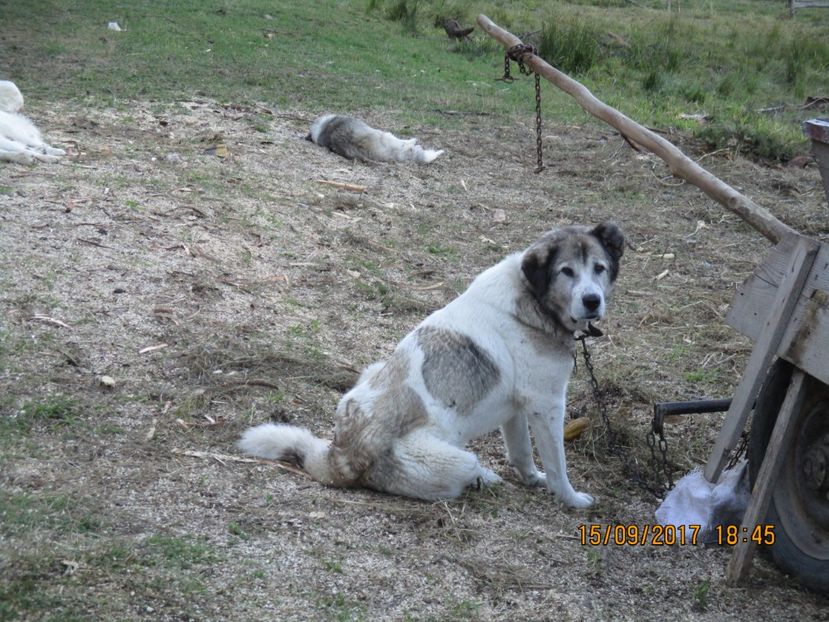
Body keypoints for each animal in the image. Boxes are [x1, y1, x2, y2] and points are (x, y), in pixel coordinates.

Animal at [238, 222, 620, 510]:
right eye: (566, 271)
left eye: (599, 269)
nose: (592, 301)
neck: (531, 299)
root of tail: (341, 456)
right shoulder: (548, 404)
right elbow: (557, 465)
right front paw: (571, 499)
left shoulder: (518, 408)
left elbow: (522, 453)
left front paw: (532, 480)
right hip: (455, 457)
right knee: (462, 471)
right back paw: (481, 477)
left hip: (371, 370)